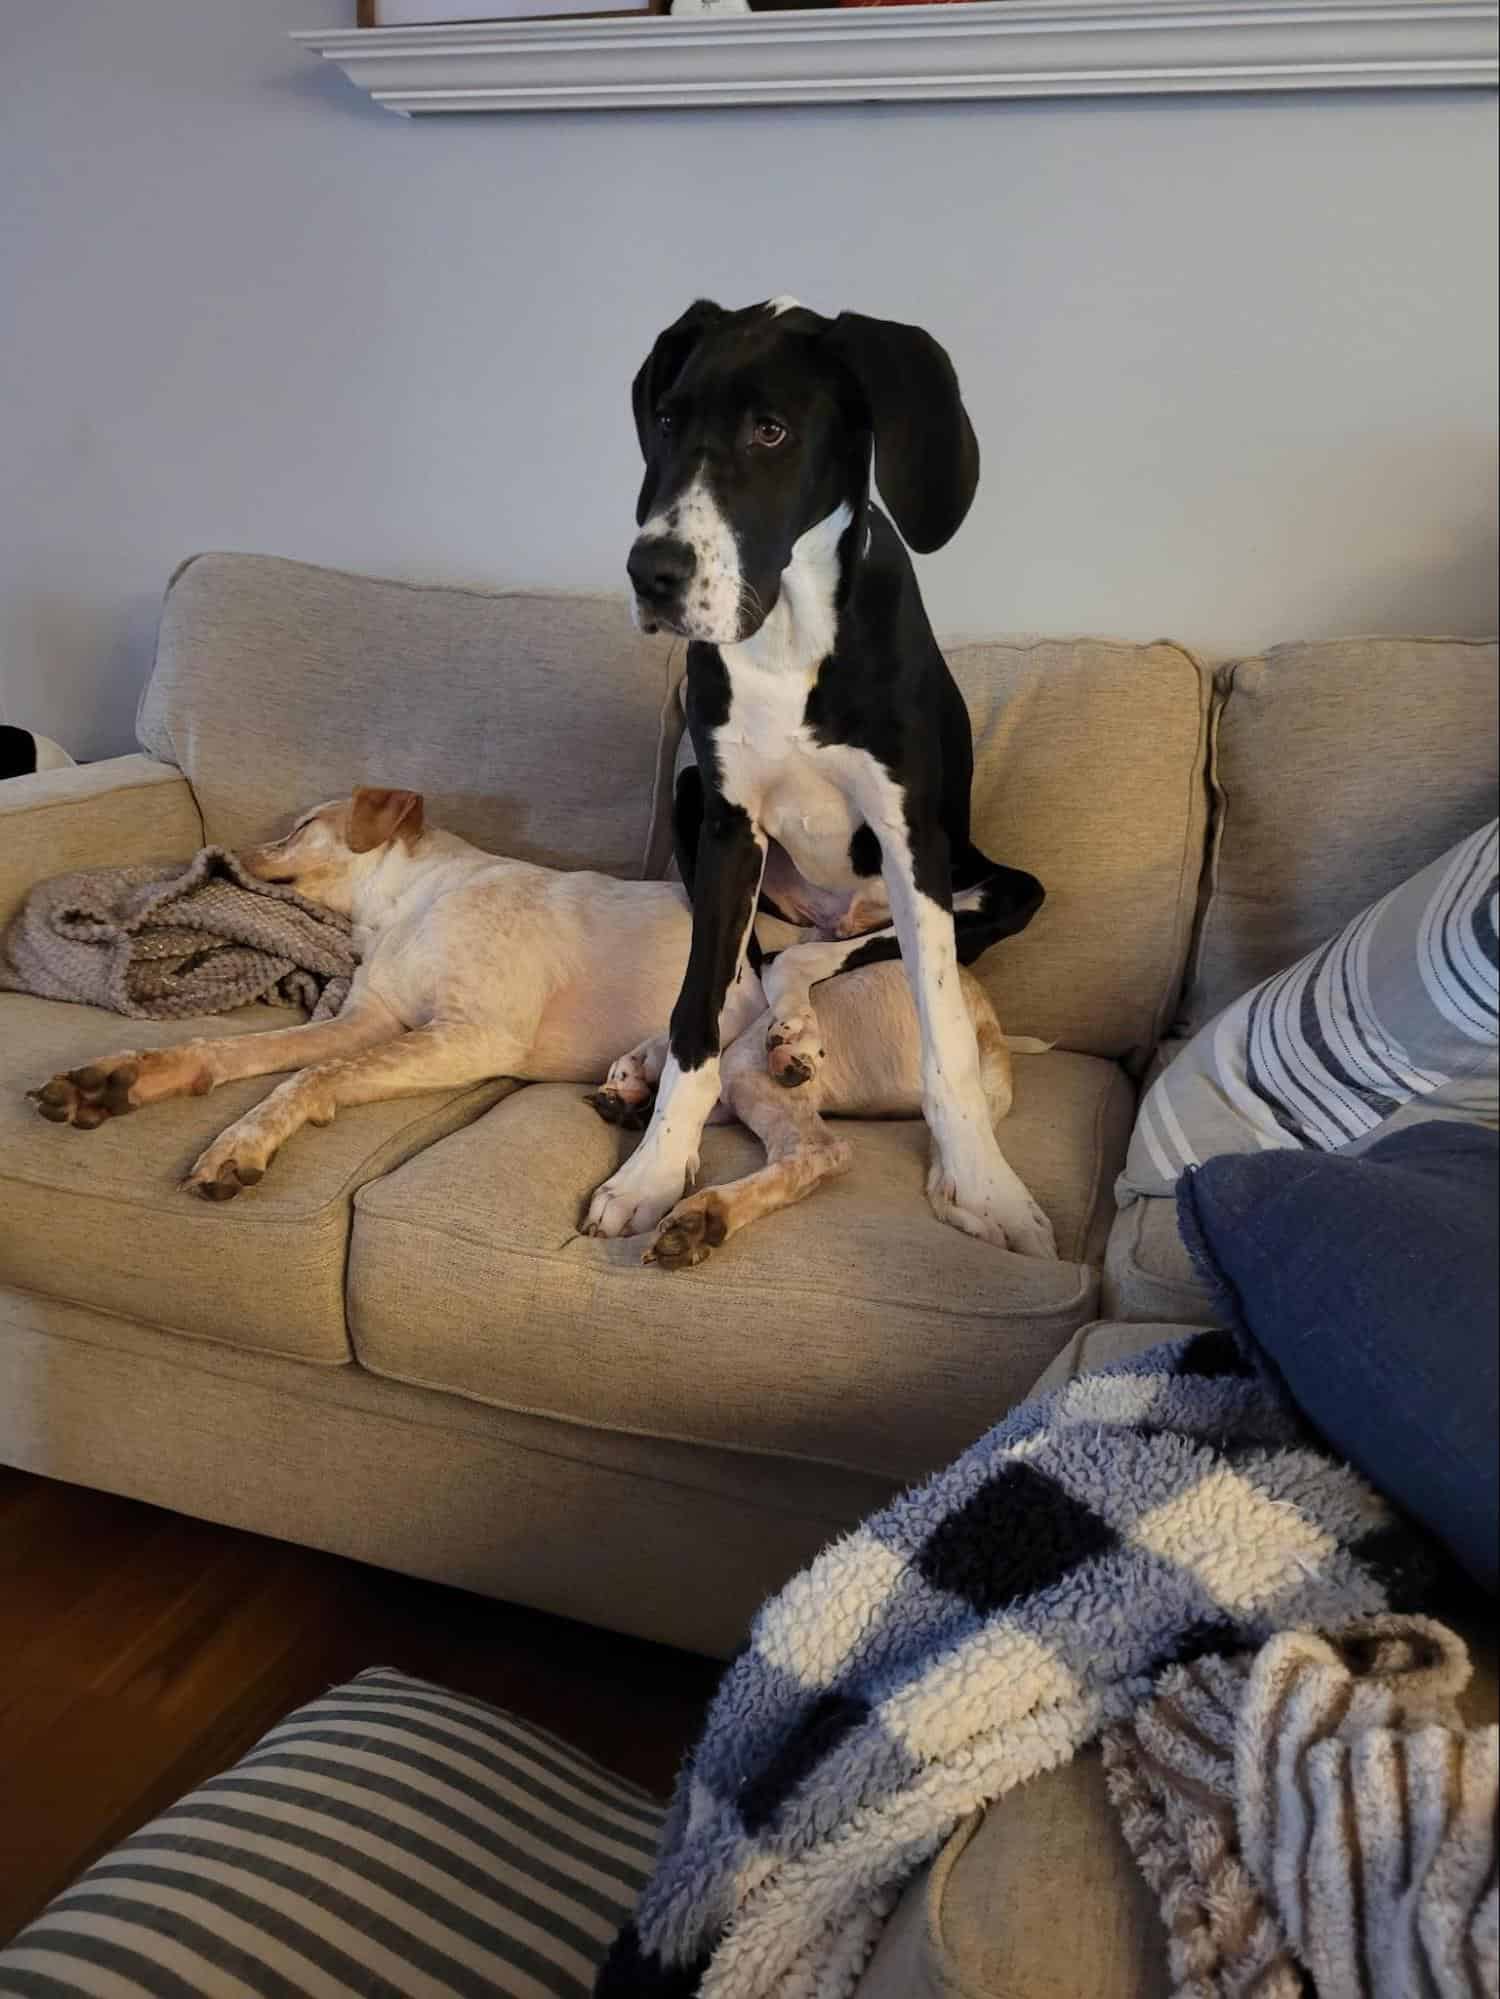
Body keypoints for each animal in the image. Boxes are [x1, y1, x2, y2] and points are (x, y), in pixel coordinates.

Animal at [26, 787, 1056, 1271]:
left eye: (301, 825)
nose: (220, 852)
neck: (406, 901)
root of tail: (989, 1025)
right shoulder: (367, 1017)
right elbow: (239, 1053)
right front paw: (118, 1080)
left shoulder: (466, 1036)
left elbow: (306, 1080)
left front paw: (242, 1148)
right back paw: (633, 1081)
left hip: (761, 1054)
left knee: (813, 1147)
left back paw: (701, 1213)